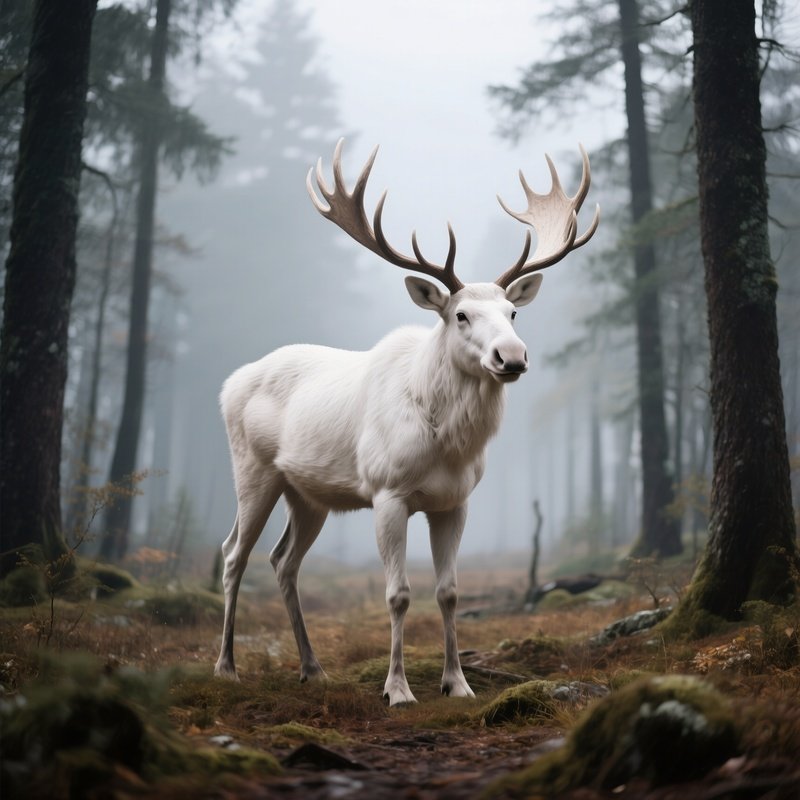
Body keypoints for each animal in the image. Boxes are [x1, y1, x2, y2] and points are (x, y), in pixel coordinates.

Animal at [214, 139, 599, 705]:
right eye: (460, 315)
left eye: (512, 313)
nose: (512, 357)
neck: (446, 444)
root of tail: (229, 384)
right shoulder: (387, 492)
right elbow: (397, 594)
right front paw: (397, 689)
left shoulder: (455, 502)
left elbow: (450, 592)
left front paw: (458, 682)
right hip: (253, 470)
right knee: (233, 554)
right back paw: (226, 666)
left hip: (308, 494)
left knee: (283, 561)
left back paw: (312, 667)